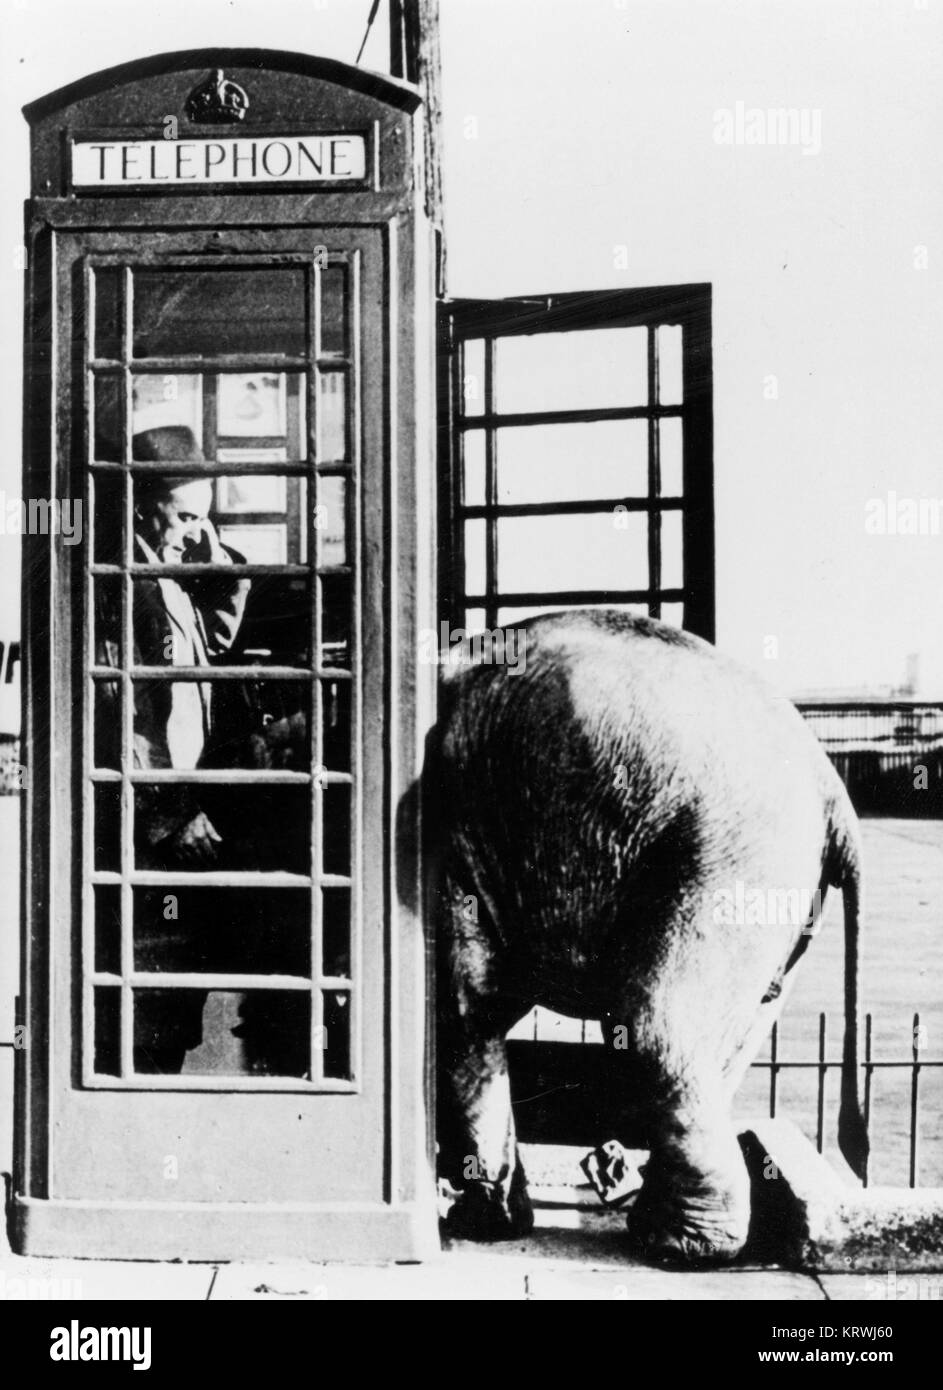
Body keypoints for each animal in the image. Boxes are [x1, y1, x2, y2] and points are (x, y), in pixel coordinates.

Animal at [422, 608, 873, 1262]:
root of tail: (831, 788)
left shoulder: (448, 840)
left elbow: (465, 1007)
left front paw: (479, 1225)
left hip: (727, 863)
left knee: (655, 1029)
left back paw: (674, 1246)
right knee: (725, 1044)